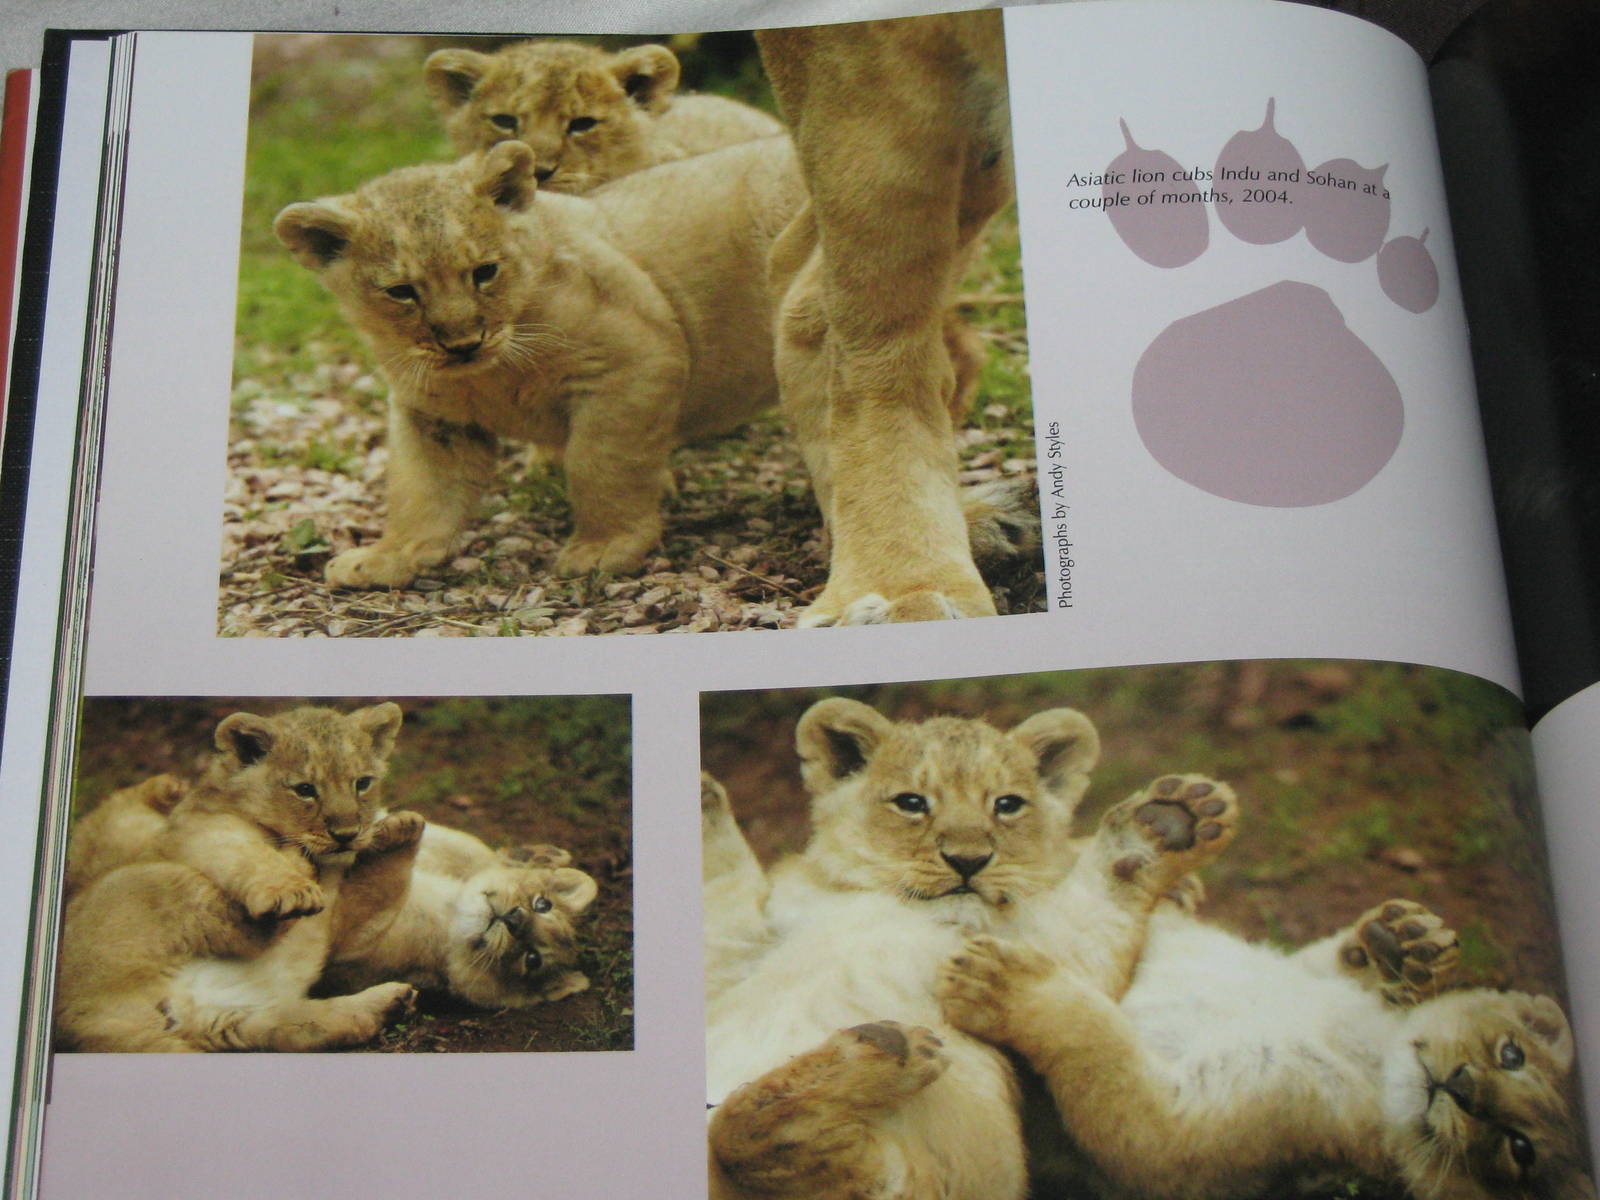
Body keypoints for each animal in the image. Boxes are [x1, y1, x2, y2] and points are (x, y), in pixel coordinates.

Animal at [325, 821, 599, 1008]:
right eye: (542, 904)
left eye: (532, 959)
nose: (514, 919)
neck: (449, 908)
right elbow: (469, 847)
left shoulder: (350, 941)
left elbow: (379, 884)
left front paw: (400, 831)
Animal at [702, 698, 1240, 1199]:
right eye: (912, 802)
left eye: (1007, 804)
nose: (968, 860)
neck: (898, 902)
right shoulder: (747, 945)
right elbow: (724, 904)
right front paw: (703, 799)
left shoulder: (1043, 948)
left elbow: (1093, 916)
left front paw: (1170, 822)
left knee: (773, 1145)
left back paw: (883, 1051)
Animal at [940, 898, 1596, 1200]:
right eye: (1512, 1054)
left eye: (1518, 1149)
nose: (1461, 1087)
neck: (1365, 1048)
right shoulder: (1294, 974)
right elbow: (1322, 961)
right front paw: (1404, 942)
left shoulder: (1178, 1136)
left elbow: (1097, 1046)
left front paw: (1000, 983)